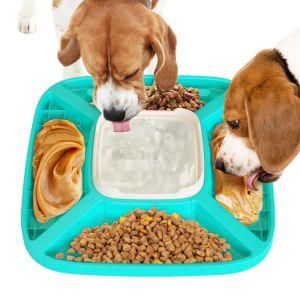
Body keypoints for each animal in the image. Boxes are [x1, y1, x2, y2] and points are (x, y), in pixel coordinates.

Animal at [18, 0, 176, 123]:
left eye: (132, 73)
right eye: (92, 72)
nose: (114, 115)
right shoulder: (61, 15)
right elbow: (73, 69)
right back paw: (26, 17)